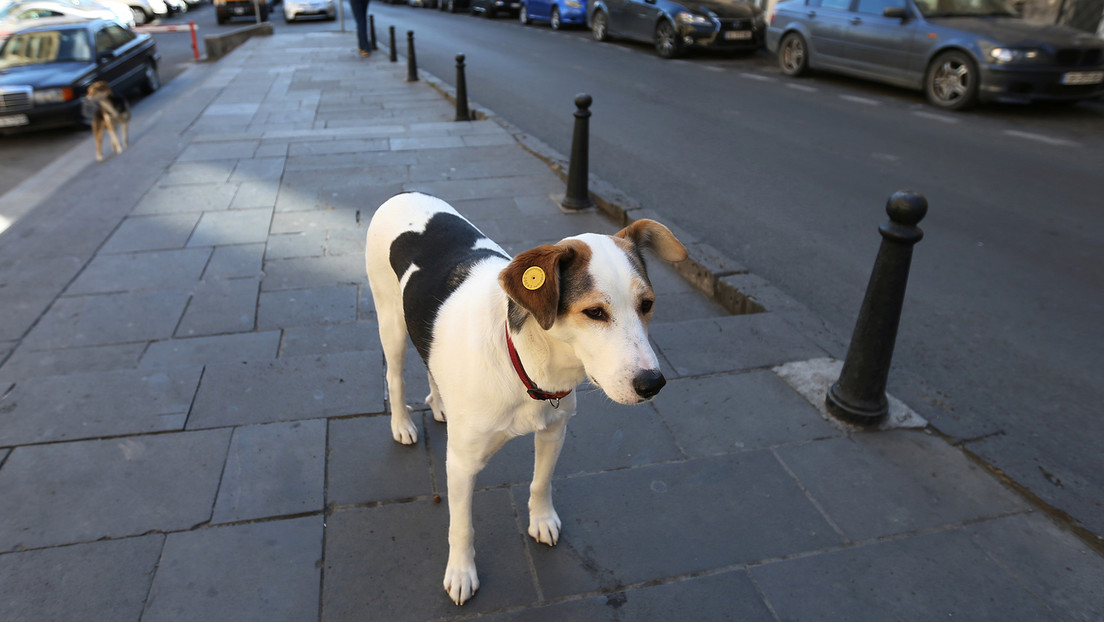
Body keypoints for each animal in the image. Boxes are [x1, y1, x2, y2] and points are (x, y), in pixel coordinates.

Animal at [366, 192, 684, 605]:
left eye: (647, 304)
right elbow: (462, 527)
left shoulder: (554, 430)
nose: (652, 384)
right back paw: (402, 424)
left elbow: (540, 482)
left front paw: (542, 519)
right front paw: (461, 572)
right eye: (594, 312)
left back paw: (439, 404)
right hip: (391, 322)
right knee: (395, 376)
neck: (525, 359)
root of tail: (402, 193)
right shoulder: (461, 464)